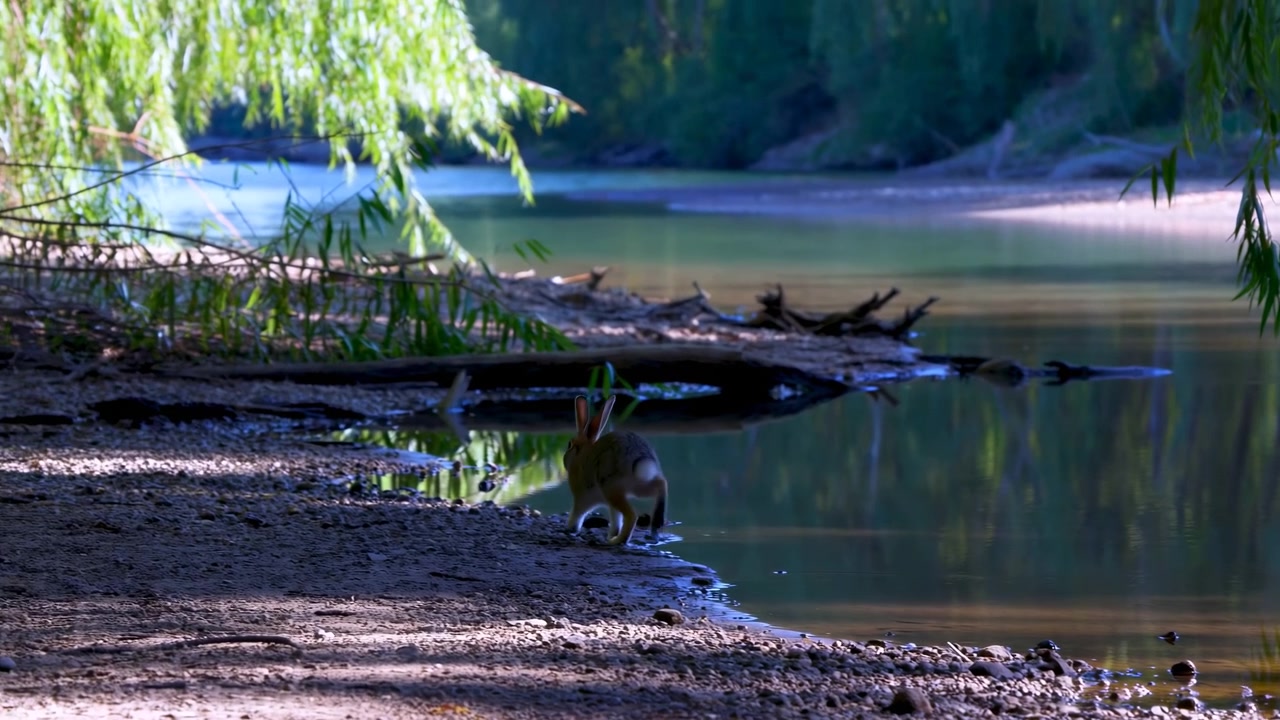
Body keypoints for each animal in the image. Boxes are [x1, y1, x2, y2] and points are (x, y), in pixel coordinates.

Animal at [563, 394, 668, 546]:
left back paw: (616, 541)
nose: (564, 459)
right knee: (661, 484)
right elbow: (615, 520)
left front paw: (570, 528)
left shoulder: (581, 497)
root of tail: (639, 458)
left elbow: (578, 514)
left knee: (631, 515)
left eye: (569, 444)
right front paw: (611, 534)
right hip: (635, 487)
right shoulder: (609, 505)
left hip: (611, 487)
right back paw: (655, 527)